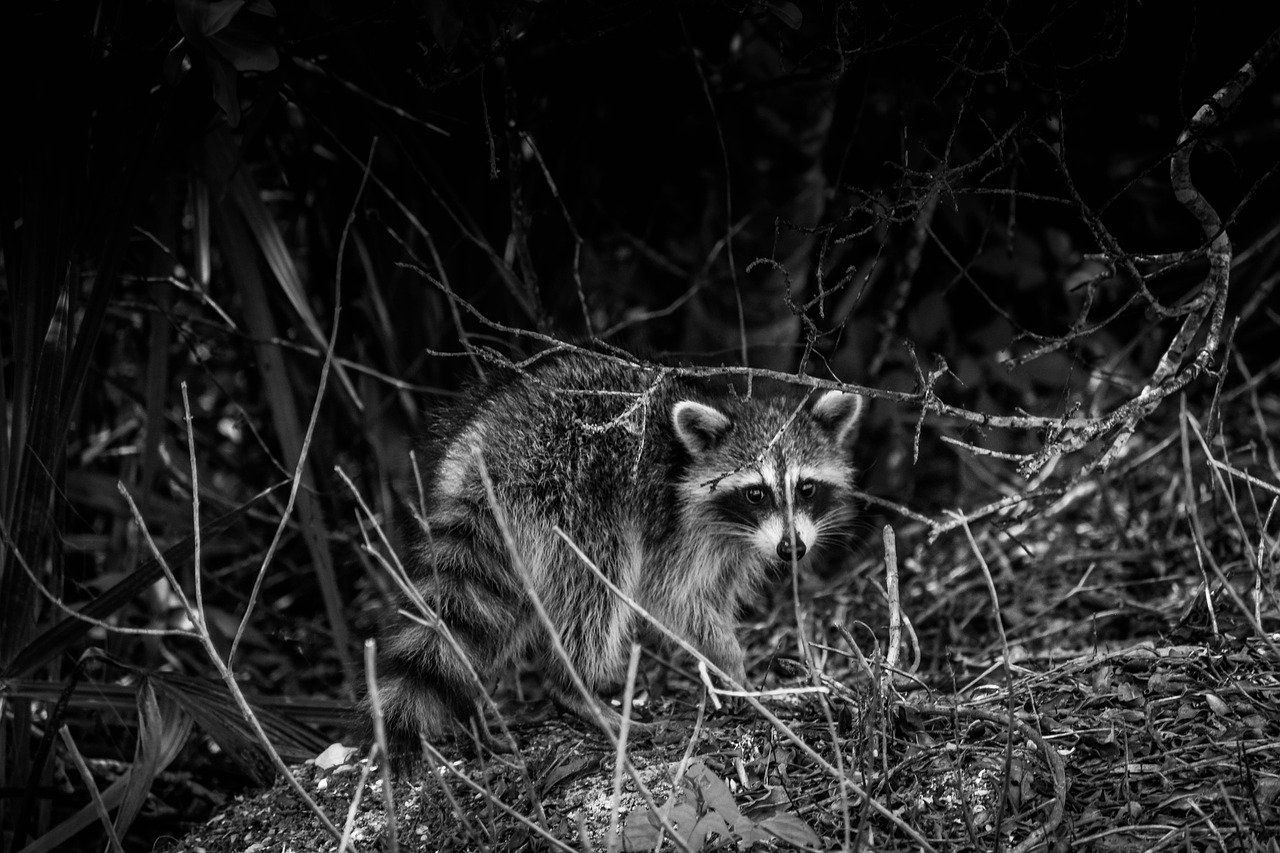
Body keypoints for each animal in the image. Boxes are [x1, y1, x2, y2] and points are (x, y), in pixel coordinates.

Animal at [373, 350, 865, 758]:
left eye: (806, 488)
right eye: (756, 493)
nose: (792, 549)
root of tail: (484, 447)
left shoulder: (734, 546)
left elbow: (715, 594)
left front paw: (730, 666)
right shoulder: (676, 529)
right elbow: (674, 599)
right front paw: (732, 666)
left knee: (502, 606)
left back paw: (477, 703)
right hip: (566, 495)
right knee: (596, 585)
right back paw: (574, 687)